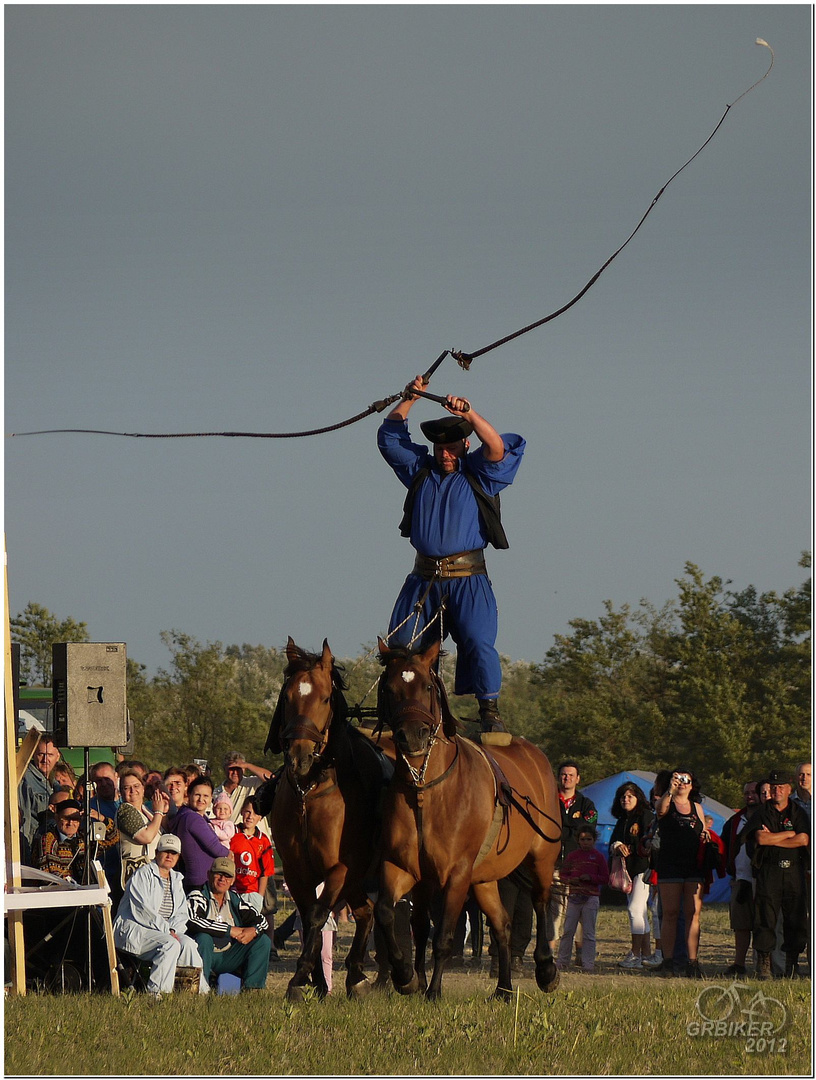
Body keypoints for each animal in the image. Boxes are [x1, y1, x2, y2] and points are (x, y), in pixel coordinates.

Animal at [260, 635, 390, 997]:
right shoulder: (296, 871)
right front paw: (315, 980)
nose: (298, 756)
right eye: (287, 696)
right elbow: (308, 921)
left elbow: (318, 916)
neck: (311, 791)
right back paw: (356, 974)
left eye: (325, 697)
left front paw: (299, 977)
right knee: (366, 912)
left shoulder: (339, 869)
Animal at [373, 635, 561, 997]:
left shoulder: (457, 875)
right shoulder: (404, 869)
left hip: (541, 857)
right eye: (389, 688)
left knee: (541, 902)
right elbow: (393, 916)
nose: (412, 735)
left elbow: (444, 936)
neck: (425, 791)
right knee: (501, 925)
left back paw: (546, 970)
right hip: (485, 879)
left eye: (427, 686)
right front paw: (407, 976)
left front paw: (433, 991)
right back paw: (503, 989)